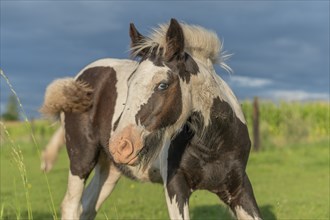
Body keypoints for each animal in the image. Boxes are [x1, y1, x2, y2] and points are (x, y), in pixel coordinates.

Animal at [41, 18, 262, 220]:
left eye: (162, 85)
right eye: (130, 83)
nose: (121, 145)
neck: (213, 144)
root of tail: (78, 81)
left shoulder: (240, 188)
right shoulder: (175, 188)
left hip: (110, 169)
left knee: (87, 206)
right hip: (82, 158)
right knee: (71, 205)